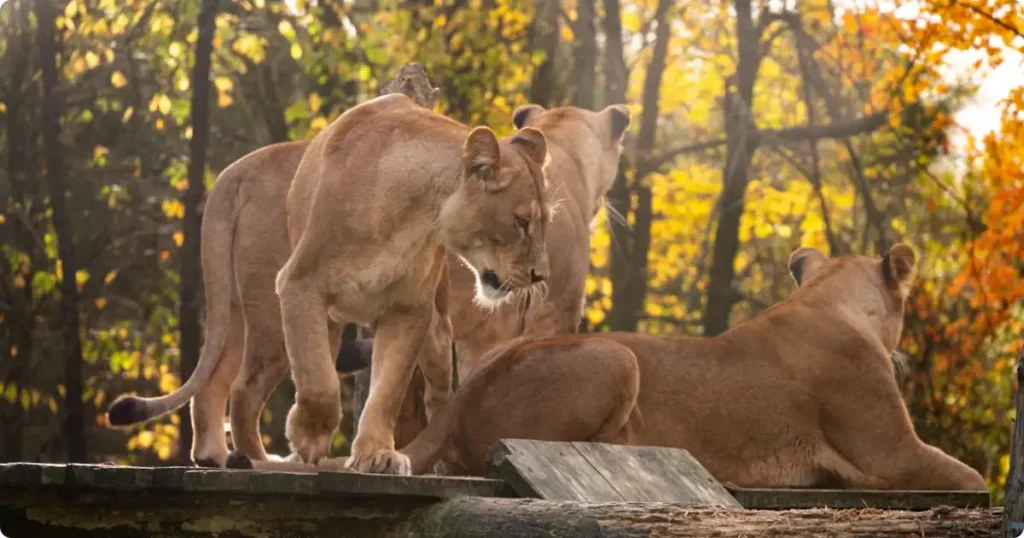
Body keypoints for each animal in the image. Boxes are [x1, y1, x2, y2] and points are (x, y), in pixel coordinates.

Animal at [106, 100, 629, 469]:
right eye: (522, 222)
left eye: (542, 223)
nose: (540, 274)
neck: (418, 215)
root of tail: (239, 169)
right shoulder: (299, 285)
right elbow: (324, 382)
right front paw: (311, 436)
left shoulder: (413, 311)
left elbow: (392, 389)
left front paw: (378, 454)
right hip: (274, 313)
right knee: (245, 390)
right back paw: (258, 458)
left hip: (237, 307)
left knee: (214, 382)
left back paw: (217, 456)